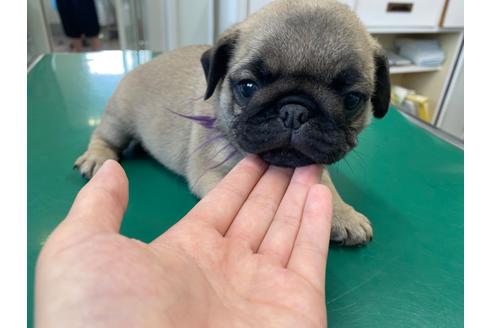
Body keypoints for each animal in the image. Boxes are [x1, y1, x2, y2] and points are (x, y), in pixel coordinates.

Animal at [74, 0, 388, 246]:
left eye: (352, 100)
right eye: (248, 86)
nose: (294, 110)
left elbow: (325, 184)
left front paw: (344, 213)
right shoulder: (212, 174)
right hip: (120, 118)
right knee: (103, 136)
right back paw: (97, 157)